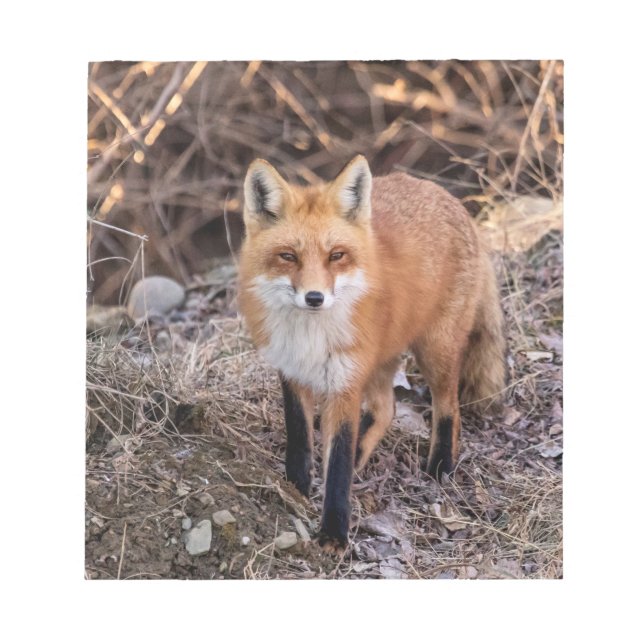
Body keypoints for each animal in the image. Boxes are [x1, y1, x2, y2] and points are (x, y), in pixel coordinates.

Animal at [238, 155, 506, 550]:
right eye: (288, 256)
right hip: (380, 360)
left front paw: (333, 533)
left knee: (449, 408)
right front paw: (296, 485)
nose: (315, 298)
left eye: (336, 256)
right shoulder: (291, 371)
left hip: (434, 350)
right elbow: (300, 437)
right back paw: (364, 453)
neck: (310, 336)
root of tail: (446, 196)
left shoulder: (345, 383)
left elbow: (338, 463)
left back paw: (440, 467)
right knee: (386, 409)